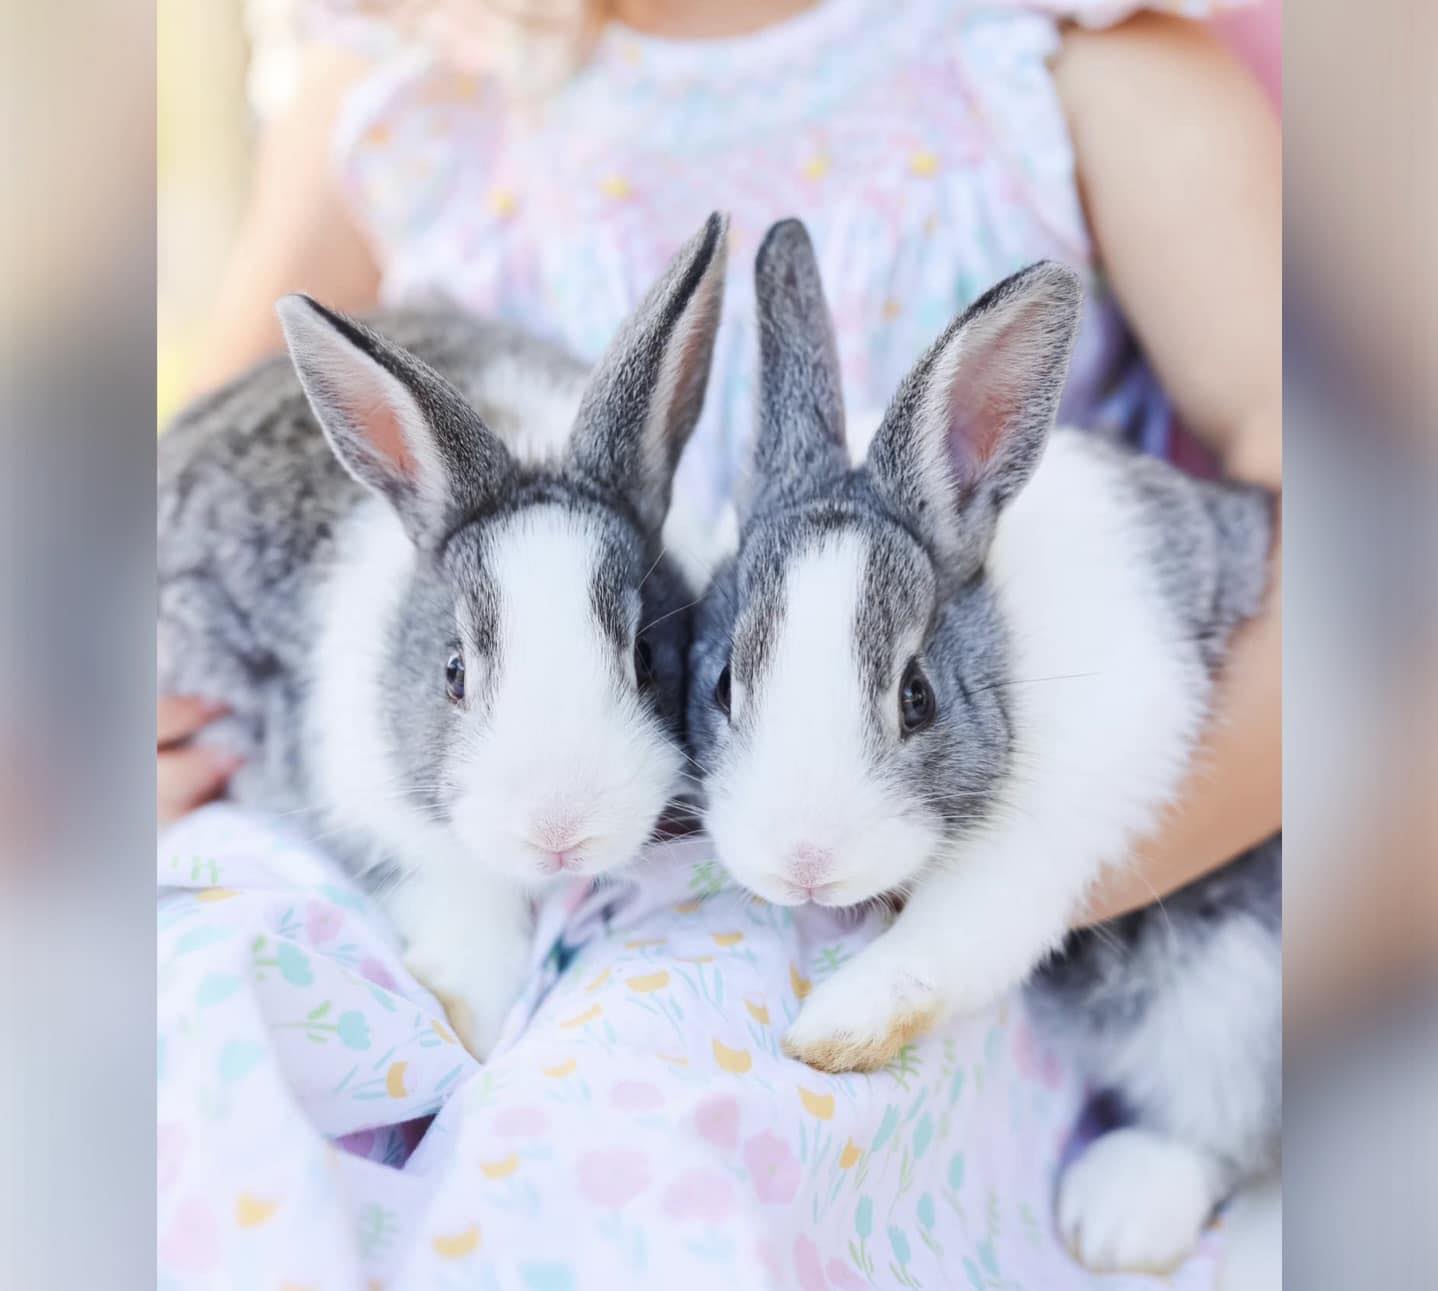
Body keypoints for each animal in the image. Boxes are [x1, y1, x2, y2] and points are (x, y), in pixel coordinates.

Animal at [687, 219, 1279, 1274]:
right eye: (722, 684)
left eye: (916, 697)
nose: (805, 863)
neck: (1004, 650)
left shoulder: (1040, 839)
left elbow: (951, 934)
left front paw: (834, 1028)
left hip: (1240, 987)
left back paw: (1114, 1213)